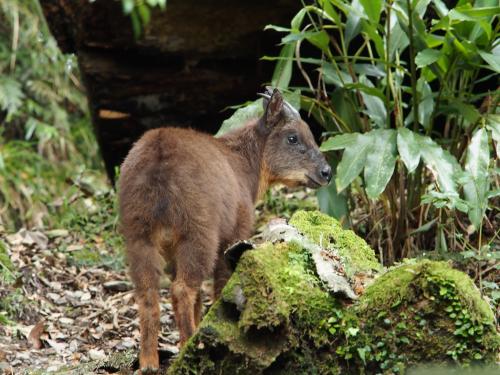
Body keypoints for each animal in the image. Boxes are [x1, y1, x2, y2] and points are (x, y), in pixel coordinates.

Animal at [118, 89, 332, 374]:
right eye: (292, 137)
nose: (326, 172)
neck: (245, 165)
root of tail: (158, 165)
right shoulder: (233, 233)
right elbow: (219, 285)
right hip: (198, 233)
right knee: (182, 289)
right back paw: (190, 347)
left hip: (138, 236)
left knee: (148, 293)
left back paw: (149, 362)